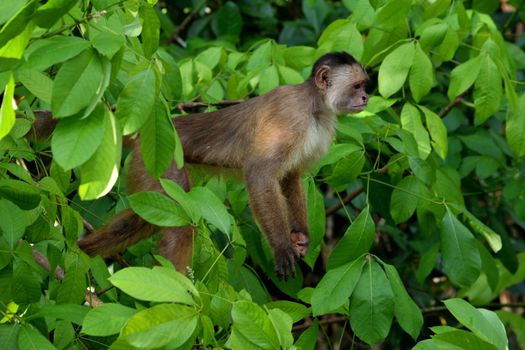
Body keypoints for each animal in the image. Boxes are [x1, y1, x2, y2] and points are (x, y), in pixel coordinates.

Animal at [77, 51, 368, 278]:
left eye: (365, 85)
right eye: (357, 86)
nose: (366, 98)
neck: (315, 106)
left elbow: (290, 177)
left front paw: (300, 237)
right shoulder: (291, 114)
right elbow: (259, 174)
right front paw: (282, 247)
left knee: (141, 218)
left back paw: (81, 252)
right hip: (159, 159)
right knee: (179, 221)